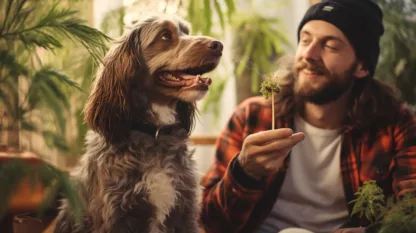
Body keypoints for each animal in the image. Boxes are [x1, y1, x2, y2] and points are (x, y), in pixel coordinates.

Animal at [54, 14, 224, 233]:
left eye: (186, 31)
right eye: (165, 36)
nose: (218, 45)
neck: (155, 134)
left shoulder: (184, 214)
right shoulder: (117, 217)